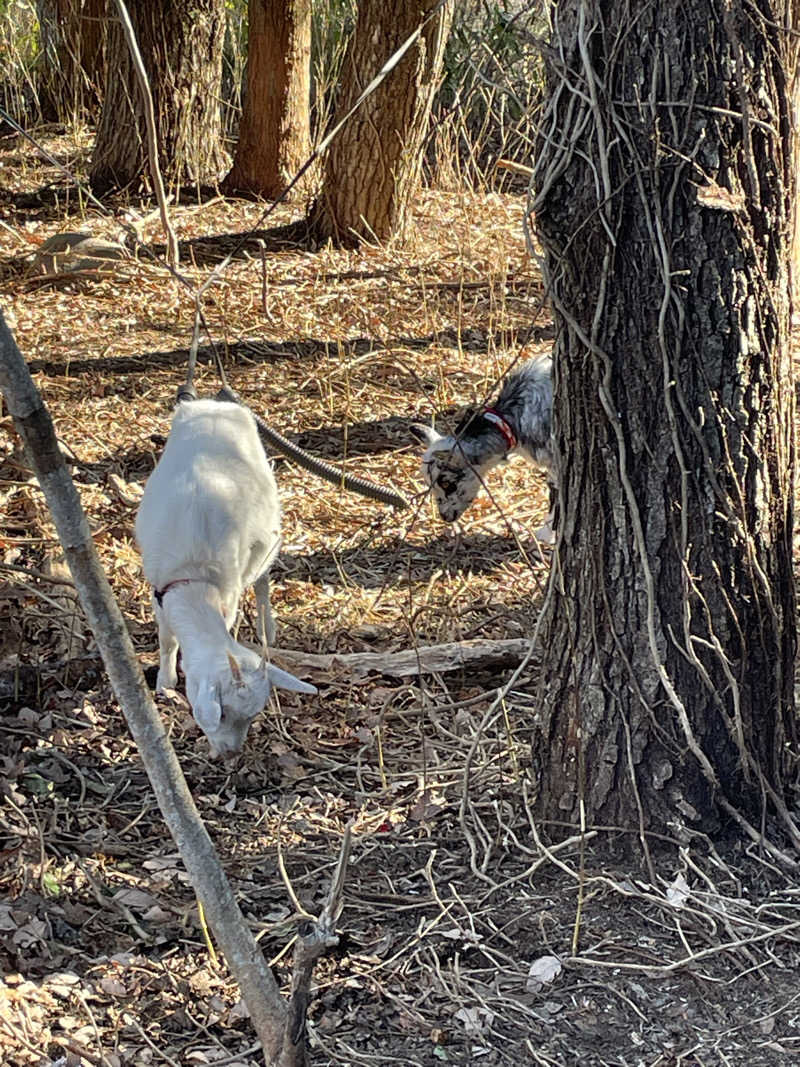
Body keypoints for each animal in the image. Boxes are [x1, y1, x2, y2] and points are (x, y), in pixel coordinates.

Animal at [134, 399, 315, 759]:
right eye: (222, 713)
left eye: (252, 716)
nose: (231, 753)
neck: (195, 577)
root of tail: (214, 403)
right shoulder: (158, 589)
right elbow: (167, 639)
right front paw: (165, 682)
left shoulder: (227, 593)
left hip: (267, 533)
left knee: (262, 580)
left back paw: (266, 627)